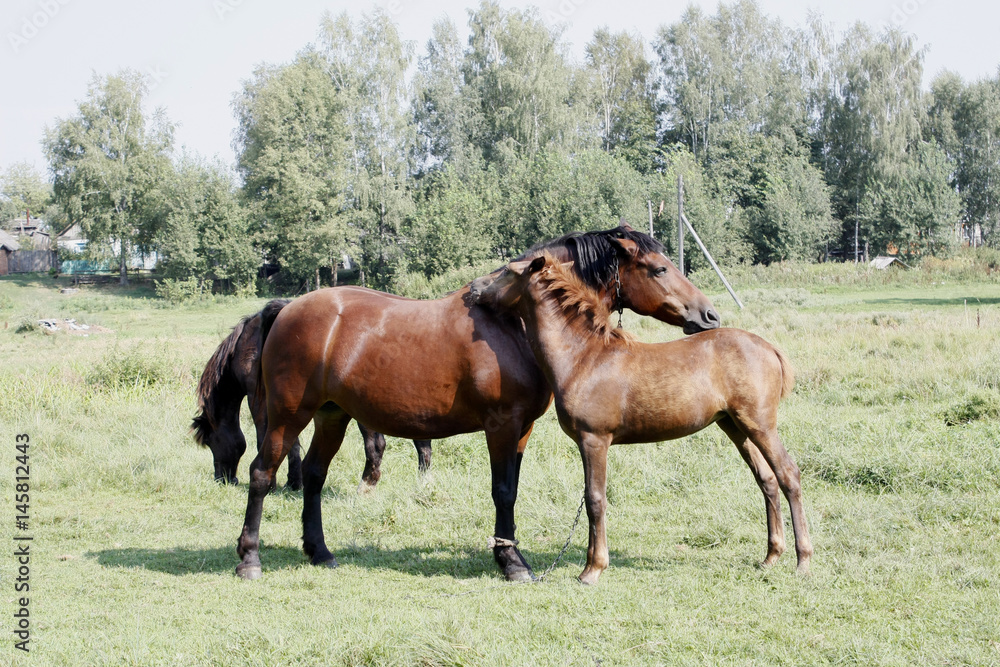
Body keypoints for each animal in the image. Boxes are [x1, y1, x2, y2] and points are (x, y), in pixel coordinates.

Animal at [193, 302, 432, 490]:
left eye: (210, 442)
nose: (222, 479)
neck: (246, 346)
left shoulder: (258, 398)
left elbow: (266, 438)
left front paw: (277, 482)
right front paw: (294, 482)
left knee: (377, 446)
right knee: (422, 446)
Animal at [236, 224, 720, 580]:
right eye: (658, 269)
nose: (709, 315)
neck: (512, 323)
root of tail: (288, 309)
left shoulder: (522, 427)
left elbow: (512, 489)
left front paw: (510, 554)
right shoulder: (501, 424)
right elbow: (502, 490)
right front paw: (512, 564)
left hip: (331, 416)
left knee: (314, 476)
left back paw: (319, 552)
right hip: (288, 416)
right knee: (262, 474)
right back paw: (250, 559)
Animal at [470, 253, 812, 588]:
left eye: (508, 271)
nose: (474, 288)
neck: (582, 357)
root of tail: (769, 348)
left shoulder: (594, 439)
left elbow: (595, 500)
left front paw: (592, 570)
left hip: (759, 424)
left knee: (788, 475)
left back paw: (803, 560)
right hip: (735, 426)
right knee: (767, 480)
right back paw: (770, 557)